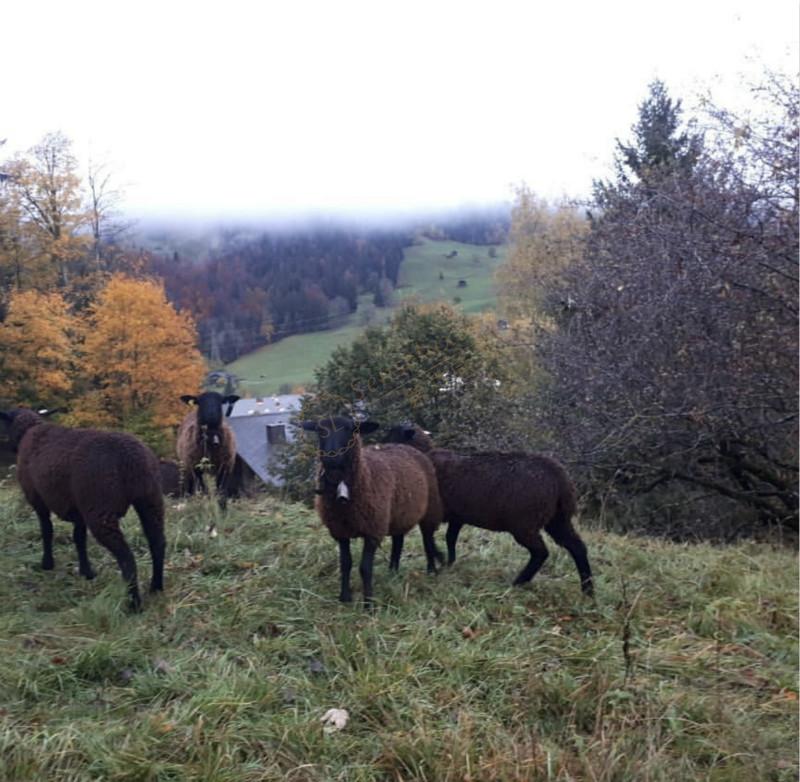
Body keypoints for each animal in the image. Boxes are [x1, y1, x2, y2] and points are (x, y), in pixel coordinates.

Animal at [0, 408, 166, 616]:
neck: (30, 431)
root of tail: (131, 459)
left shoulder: (37, 499)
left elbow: (47, 530)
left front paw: (47, 564)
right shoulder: (78, 508)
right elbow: (79, 538)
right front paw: (86, 572)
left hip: (100, 509)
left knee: (127, 558)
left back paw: (133, 604)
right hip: (150, 500)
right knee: (158, 544)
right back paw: (156, 587)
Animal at [298, 416, 444, 608]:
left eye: (350, 430)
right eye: (320, 431)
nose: (332, 458)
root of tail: (405, 446)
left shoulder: (373, 530)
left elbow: (365, 568)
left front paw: (369, 604)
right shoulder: (340, 530)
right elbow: (345, 563)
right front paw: (345, 598)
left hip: (429, 508)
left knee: (427, 538)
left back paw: (431, 570)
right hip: (398, 513)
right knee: (398, 541)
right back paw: (393, 572)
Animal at [384, 426, 592, 596]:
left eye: (392, 433)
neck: (425, 455)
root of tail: (560, 478)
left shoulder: (433, 514)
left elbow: (429, 541)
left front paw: (438, 562)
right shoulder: (458, 516)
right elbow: (450, 538)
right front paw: (450, 563)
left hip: (525, 523)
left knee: (541, 552)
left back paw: (518, 582)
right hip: (557, 519)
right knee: (577, 547)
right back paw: (588, 590)